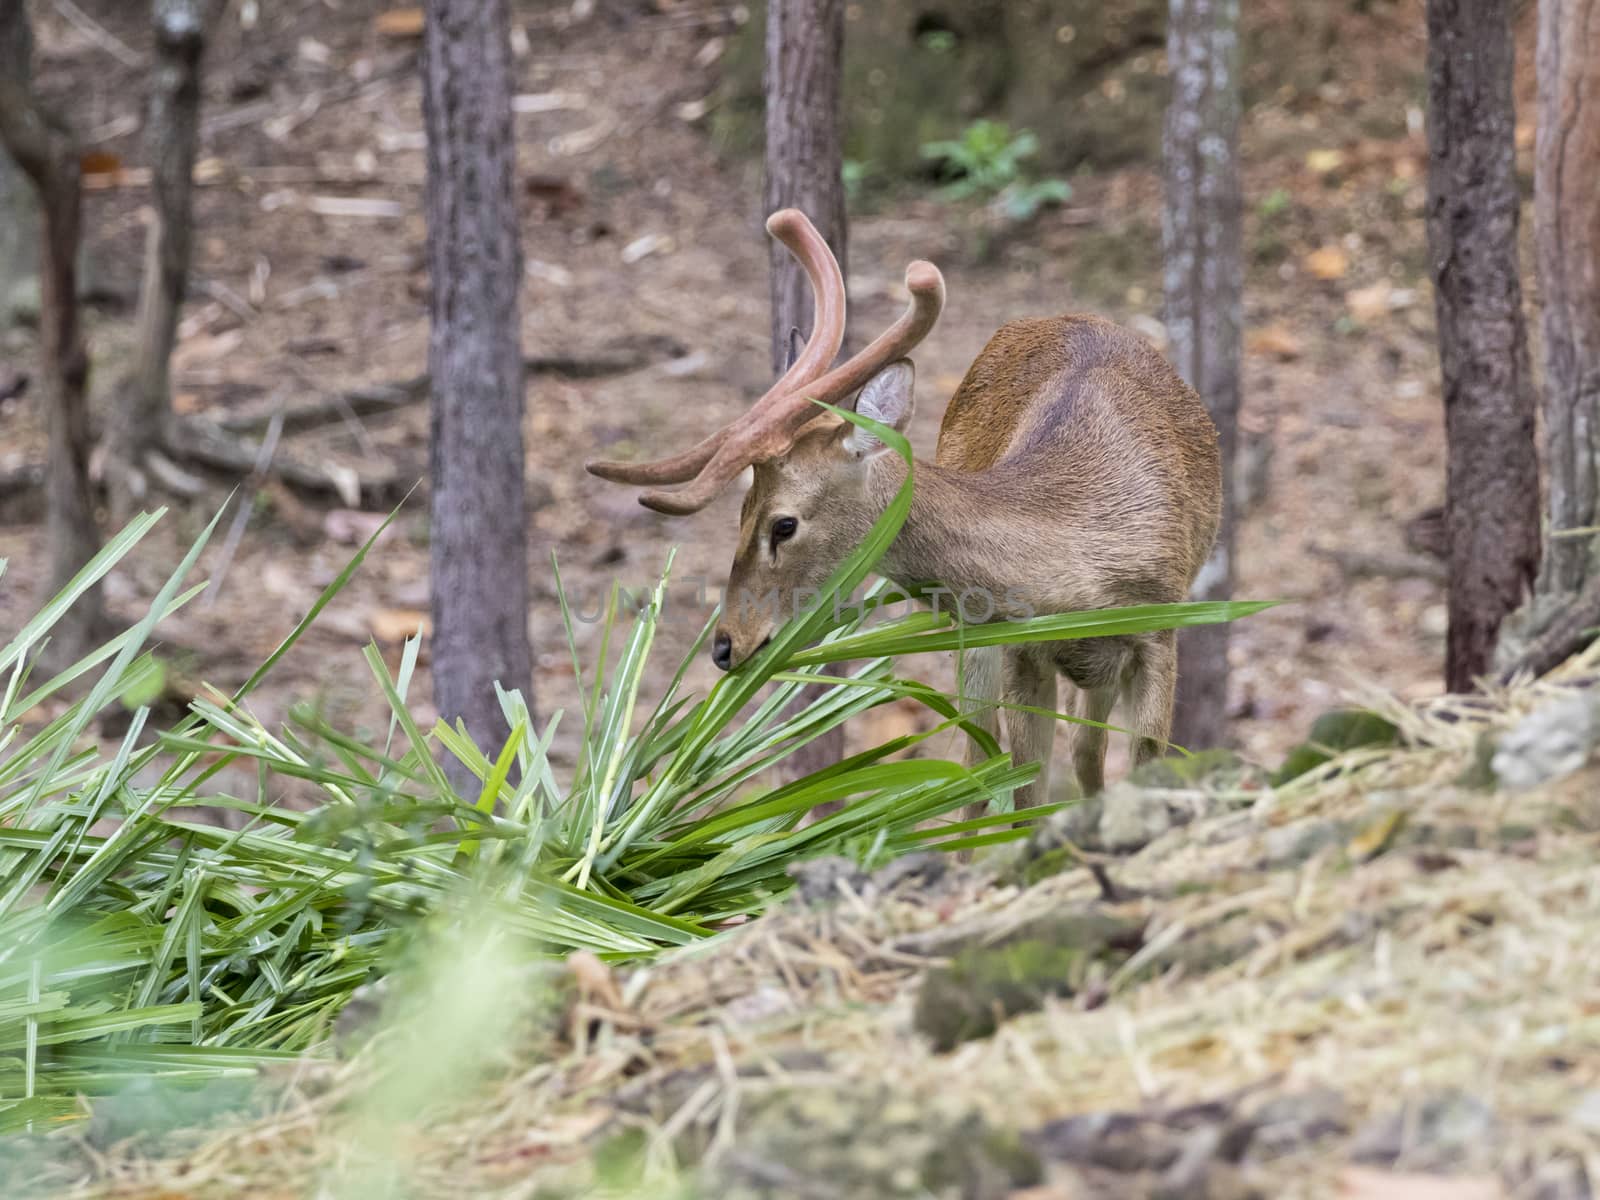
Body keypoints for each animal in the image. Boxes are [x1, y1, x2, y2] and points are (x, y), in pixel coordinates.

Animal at [582, 211, 1216, 812]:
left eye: (783, 524)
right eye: (740, 510)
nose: (724, 645)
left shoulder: (1162, 628)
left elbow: (1140, 765)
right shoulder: (1018, 648)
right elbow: (1020, 789)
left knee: (1084, 752)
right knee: (990, 761)